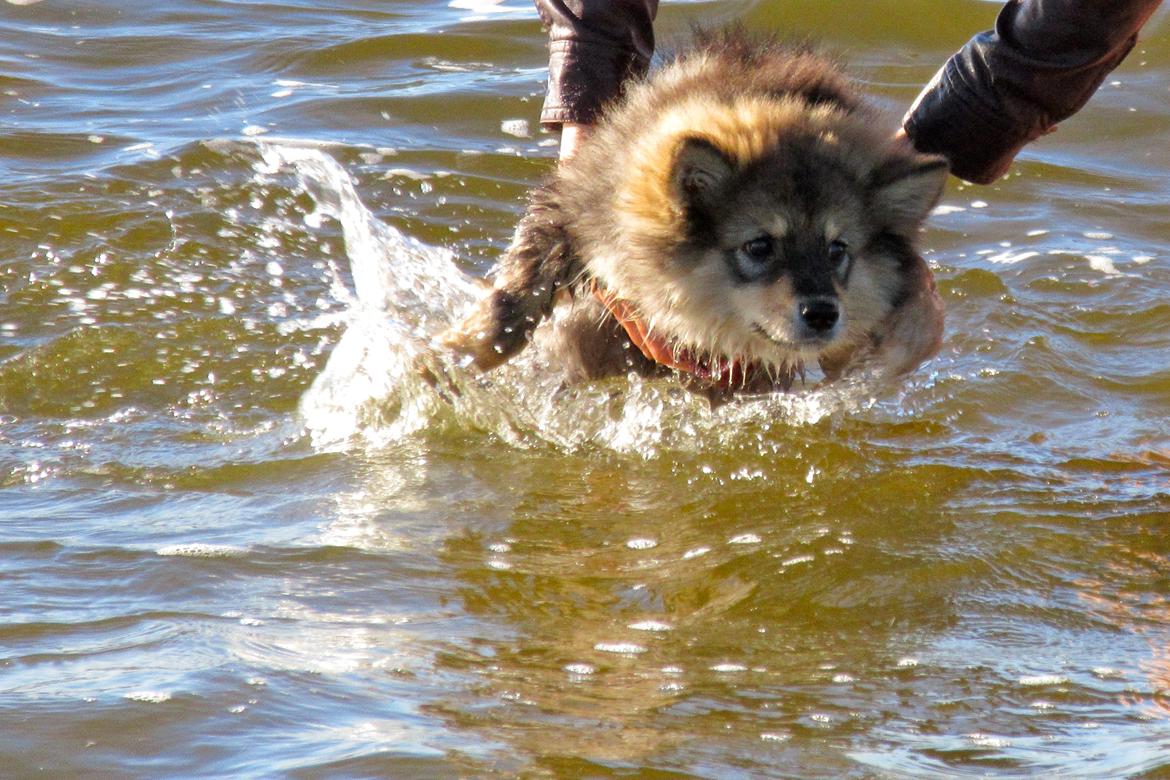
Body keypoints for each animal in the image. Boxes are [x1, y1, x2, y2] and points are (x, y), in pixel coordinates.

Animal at [442, 27, 945, 397]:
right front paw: (456, 355)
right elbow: (514, 295)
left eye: (838, 249)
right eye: (759, 246)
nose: (822, 314)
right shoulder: (569, 207)